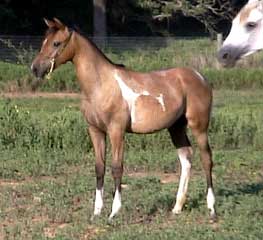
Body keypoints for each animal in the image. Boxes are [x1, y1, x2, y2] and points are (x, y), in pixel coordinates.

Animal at [31, 18, 217, 221]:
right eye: (43, 41)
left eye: (56, 43)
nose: (35, 68)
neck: (100, 85)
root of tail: (200, 77)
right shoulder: (95, 130)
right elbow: (99, 168)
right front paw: (96, 212)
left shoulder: (116, 131)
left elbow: (116, 168)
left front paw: (114, 212)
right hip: (176, 127)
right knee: (186, 158)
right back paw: (177, 207)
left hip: (199, 126)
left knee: (206, 159)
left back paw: (211, 209)